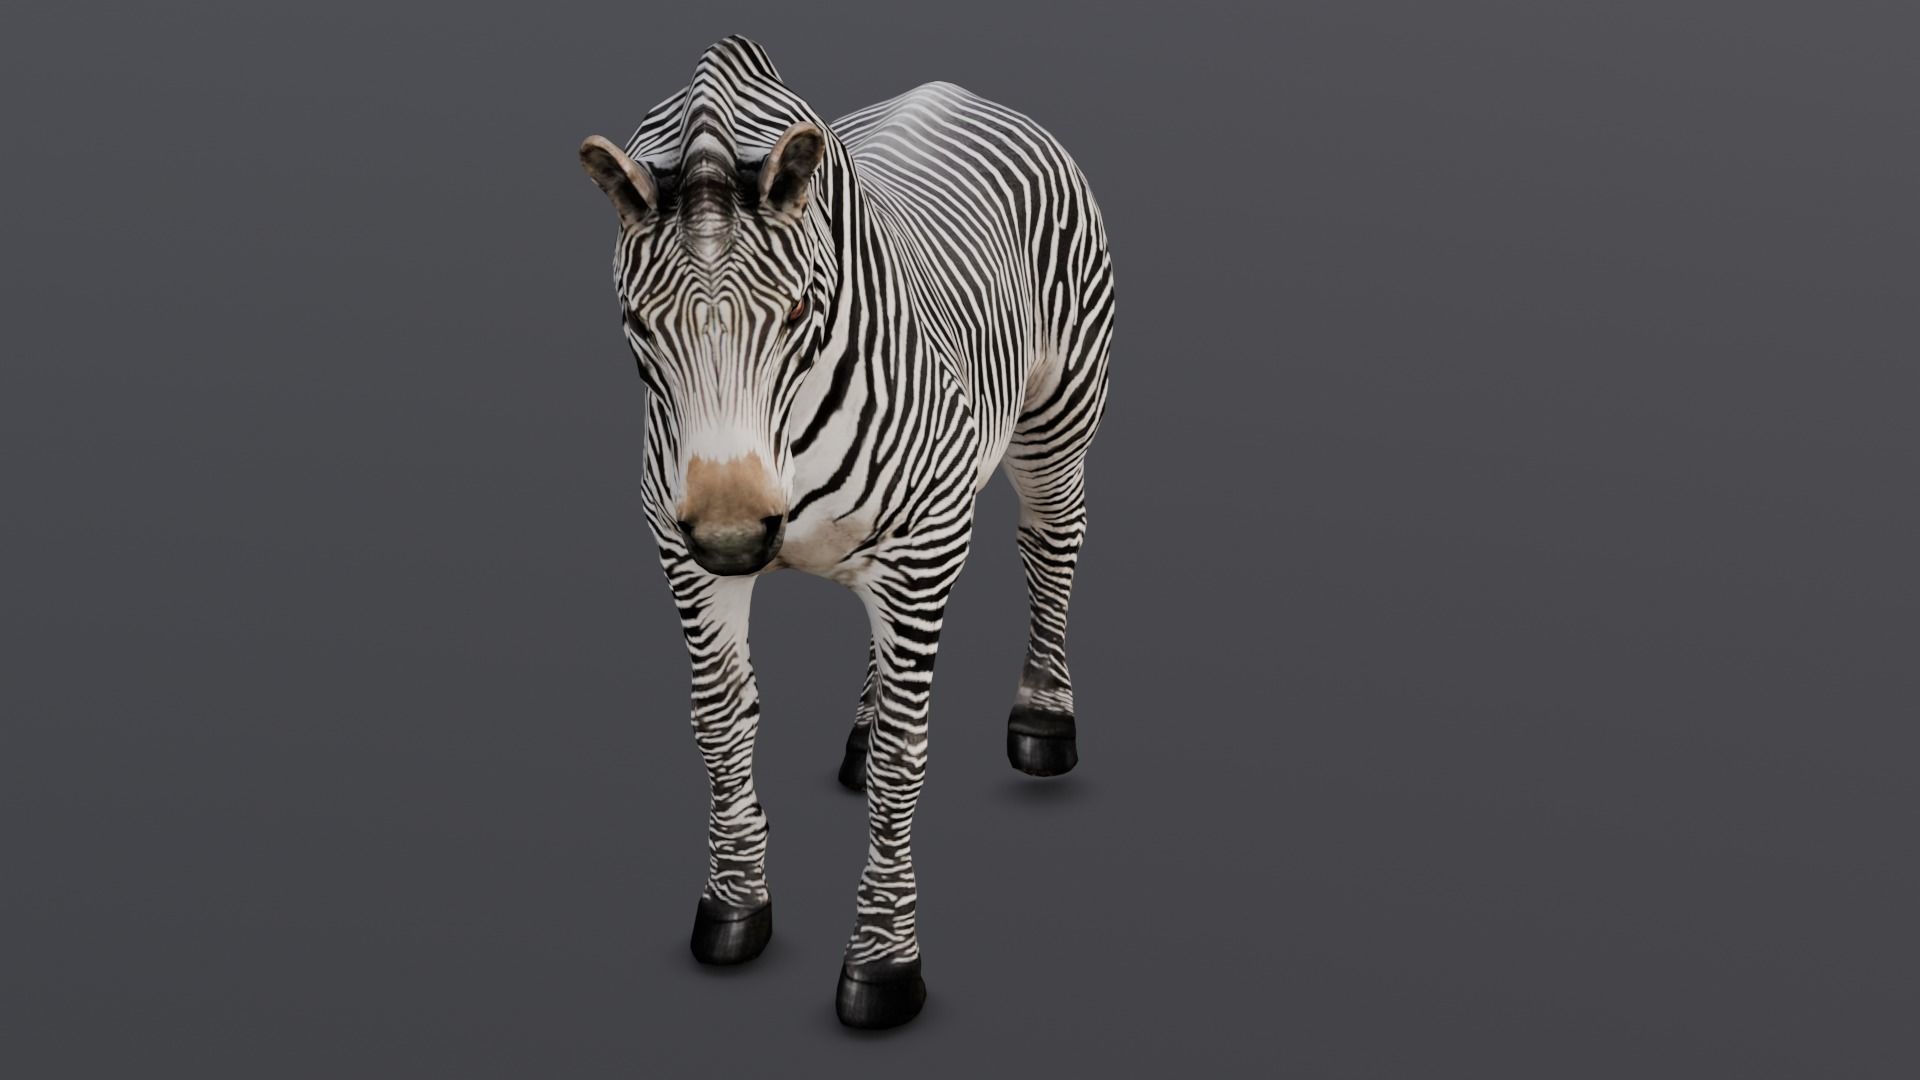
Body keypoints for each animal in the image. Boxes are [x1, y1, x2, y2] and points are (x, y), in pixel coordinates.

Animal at [576, 36, 1112, 1028]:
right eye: (637, 327)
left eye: (795, 315)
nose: (737, 538)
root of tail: (961, 92)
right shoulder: (683, 551)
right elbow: (720, 724)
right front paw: (735, 903)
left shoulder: (924, 545)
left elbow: (908, 758)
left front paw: (883, 963)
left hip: (1055, 419)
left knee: (1052, 548)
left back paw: (1044, 720)